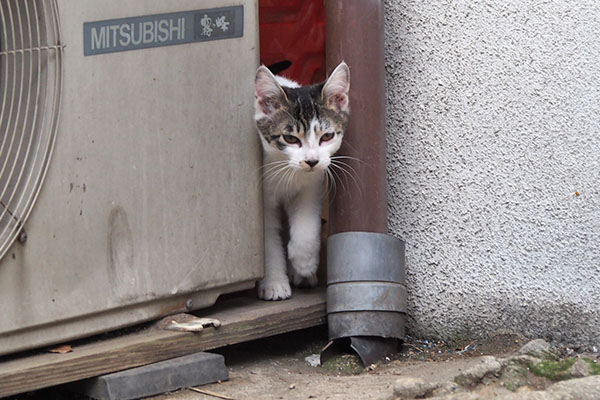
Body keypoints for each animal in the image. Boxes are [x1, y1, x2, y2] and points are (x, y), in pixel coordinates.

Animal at [254, 62, 352, 300]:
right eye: (290, 138)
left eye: (327, 136)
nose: (311, 160)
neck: (287, 171)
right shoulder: (263, 201)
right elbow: (268, 240)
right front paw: (274, 283)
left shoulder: (312, 186)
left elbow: (306, 225)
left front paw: (304, 263)